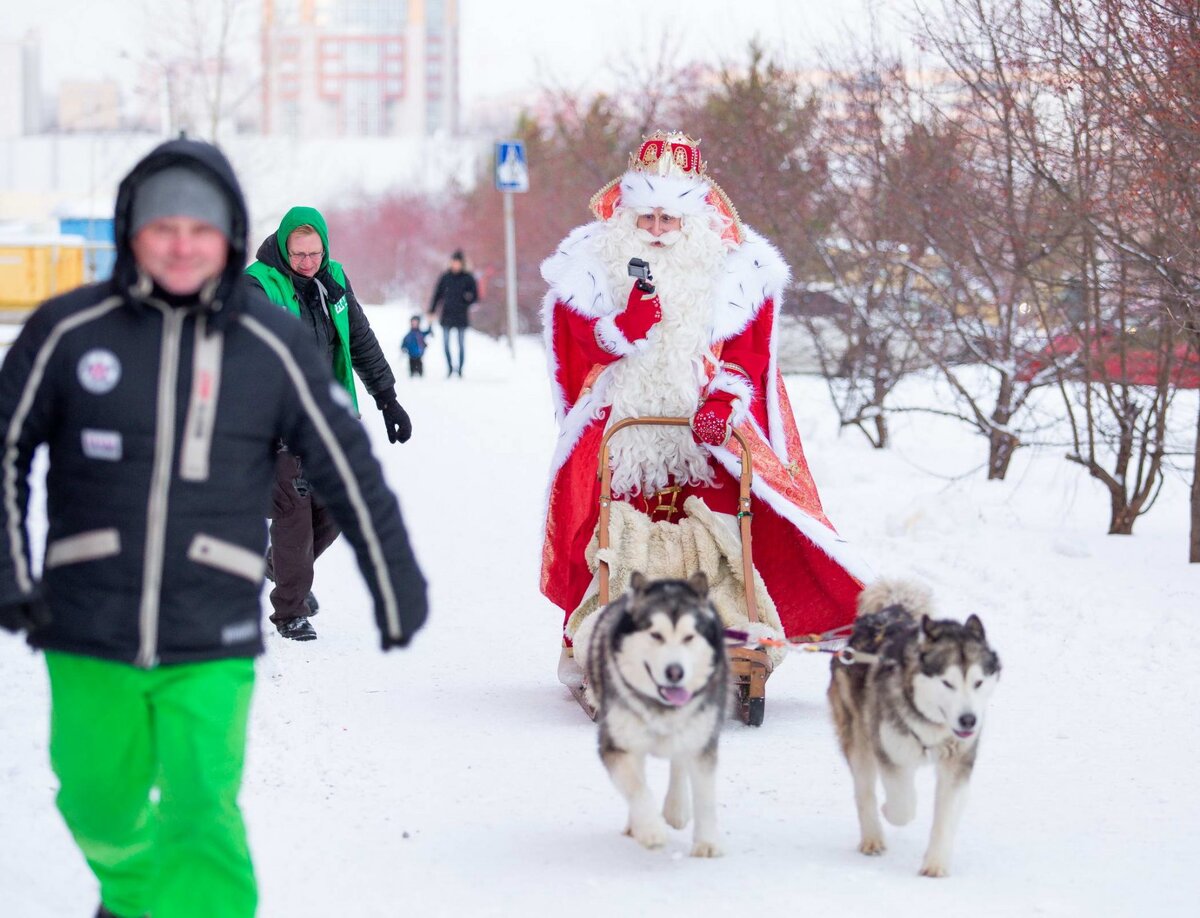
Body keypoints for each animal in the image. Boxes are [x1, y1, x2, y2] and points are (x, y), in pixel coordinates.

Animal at [573, 568, 729, 854]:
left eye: (689, 637)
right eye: (655, 635)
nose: (675, 672)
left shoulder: (701, 741)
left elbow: (704, 796)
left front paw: (707, 843)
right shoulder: (618, 743)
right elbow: (638, 788)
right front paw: (649, 830)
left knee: (678, 762)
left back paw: (676, 808)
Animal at [825, 580, 1003, 873]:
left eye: (978, 682)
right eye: (947, 683)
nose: (968, 720)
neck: (931, 724)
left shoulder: (958, 762)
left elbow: (947, 814)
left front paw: (936, 864)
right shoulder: (891, 754)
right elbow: (903, 806)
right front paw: (890, 810)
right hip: (859, 736)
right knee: (864, 790)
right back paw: (872, 837)